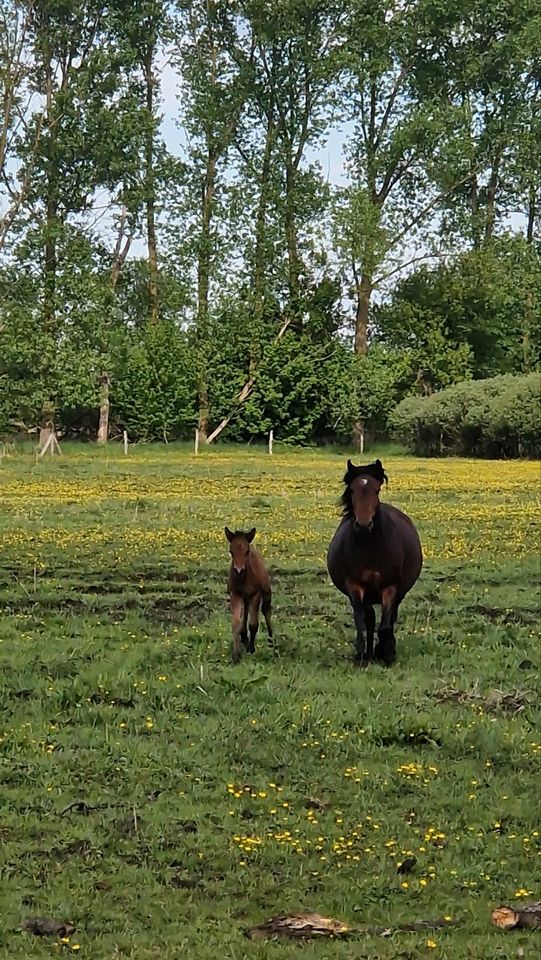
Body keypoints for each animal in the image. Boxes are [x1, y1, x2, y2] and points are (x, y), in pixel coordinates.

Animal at [324, 462, 422, 664]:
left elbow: (385, 624)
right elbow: (361, 619)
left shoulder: (389, 586)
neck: (371, 546)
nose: (363, 525)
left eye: (376, 490)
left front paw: (386, 653)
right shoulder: (355, 585)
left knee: (390, 618)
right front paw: (362, 654)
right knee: (369, 618)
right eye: (352, 490)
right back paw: (369, 653)